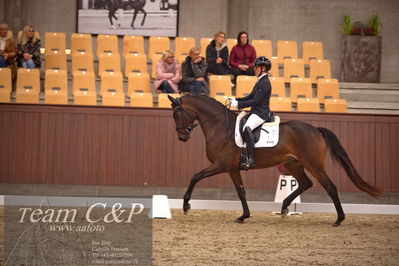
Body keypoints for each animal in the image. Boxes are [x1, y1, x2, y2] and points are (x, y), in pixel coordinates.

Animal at [168, 94, 382, 225]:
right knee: (306, 183)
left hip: (313, 164)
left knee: (330, 187)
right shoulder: (232, 168)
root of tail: (315, 129)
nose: (182, 137)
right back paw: (285, 207)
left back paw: (338, 220)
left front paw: (186, 206)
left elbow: (195, 177)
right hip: (293, 164)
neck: (220, 126)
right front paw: (243, 216)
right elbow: (241, 192)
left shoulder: (220, 165)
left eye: (177, 114)